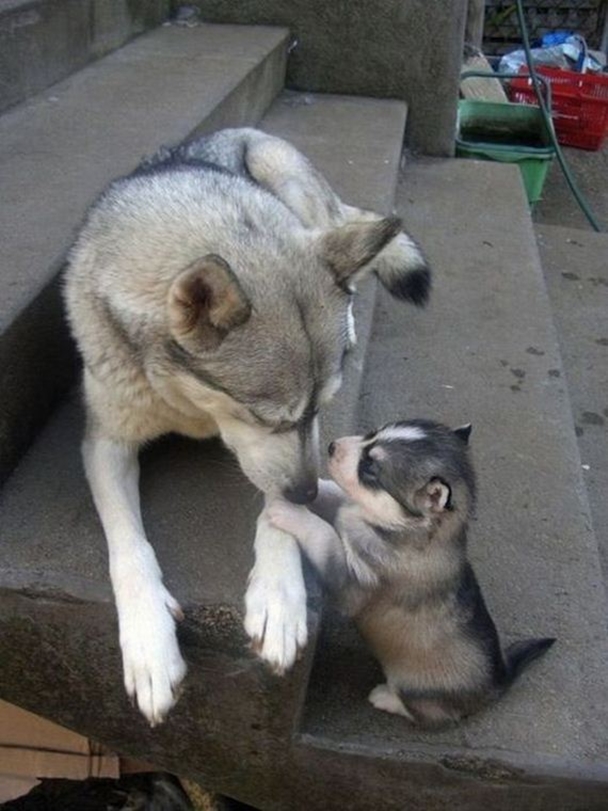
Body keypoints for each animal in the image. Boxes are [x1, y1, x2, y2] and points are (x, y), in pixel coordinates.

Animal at [64, 128, 430, 728]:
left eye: (318, 409)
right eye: (265, 417)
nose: (308, 493)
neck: (187, 404)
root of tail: (241, 130)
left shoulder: (302, 446)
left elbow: (276, 507)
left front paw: (278, 596)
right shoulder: (105, 443)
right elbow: (128, 546)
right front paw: (149, 644)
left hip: (287, 178)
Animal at [268, 422, 552, 728]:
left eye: (370, 468)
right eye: (372, 433)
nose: (332, 446)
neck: (406, 528)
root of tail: (499, 679)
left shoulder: (354, 586)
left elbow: (325, 536)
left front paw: (291, 513)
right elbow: (336, 495)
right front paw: (312, 488)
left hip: (417, 689)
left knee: (428, 714)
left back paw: (387, 698)